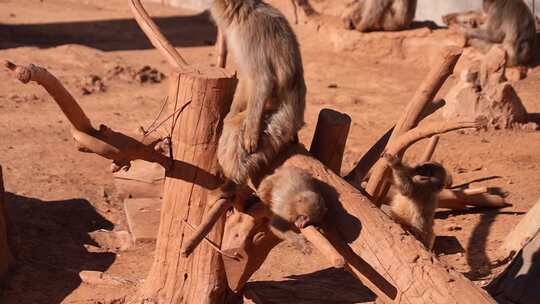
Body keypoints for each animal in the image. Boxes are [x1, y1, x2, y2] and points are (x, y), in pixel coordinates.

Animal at [212, 0, 306, 185]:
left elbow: (262, 80)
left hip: (280, 121)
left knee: (238, 130)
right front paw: (231, 113)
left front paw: (251, 135)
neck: (243, 15)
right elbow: (246, 78)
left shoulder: (251, 34)